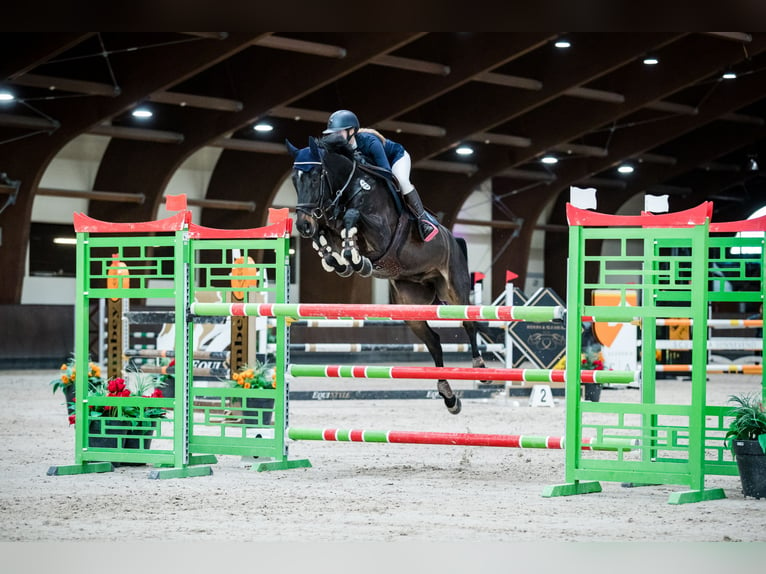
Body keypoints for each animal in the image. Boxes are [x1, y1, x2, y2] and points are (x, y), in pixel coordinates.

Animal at [284, 135, 488, 414]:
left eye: (316, 177)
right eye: (295, 180)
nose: (303, 225)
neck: (349, 186)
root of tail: (454, 239)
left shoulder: (381, 234)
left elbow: (353, 216)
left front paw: (354, 258)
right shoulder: (331, 222)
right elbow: (328, 232)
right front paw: (338, 259)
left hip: (454, 290)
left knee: (469, 323)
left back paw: (480, 368)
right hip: (411, 303)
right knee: (434, 341)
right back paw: (449, 397)